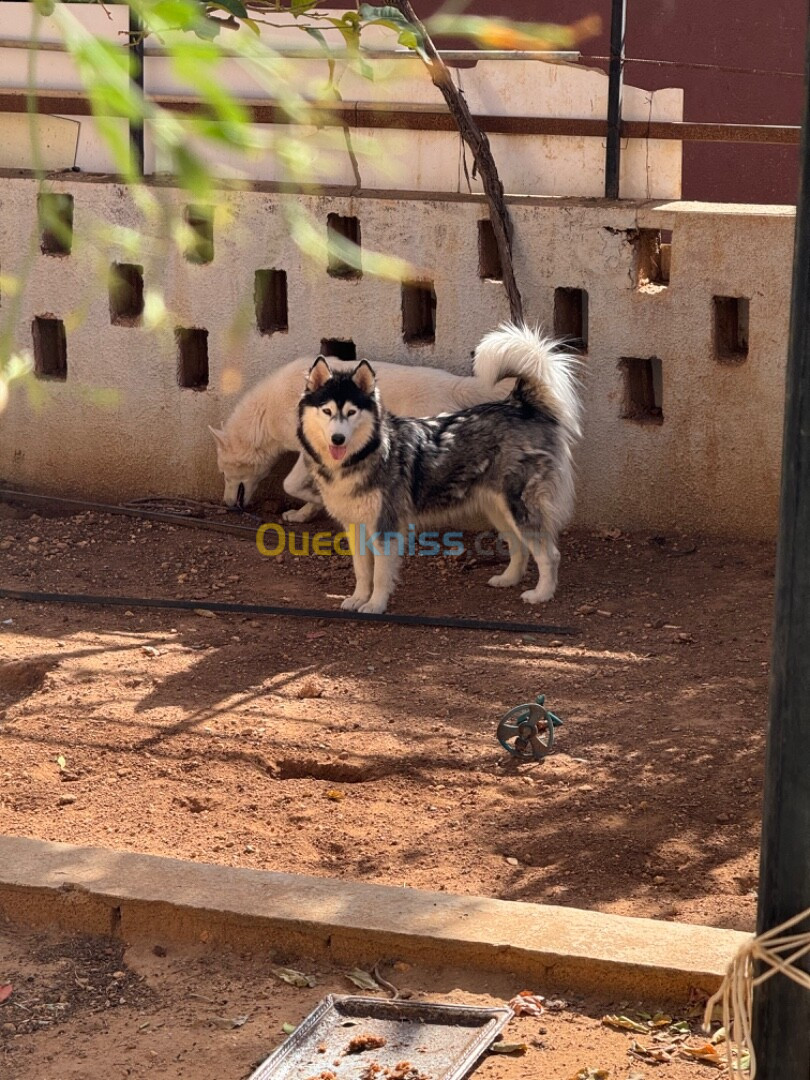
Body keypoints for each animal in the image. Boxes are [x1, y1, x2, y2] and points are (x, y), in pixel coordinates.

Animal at [210, 354, 514, 522]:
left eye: (224, 474)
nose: (226, 504)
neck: (267, 413)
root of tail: (454, 384)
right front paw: (303, 514)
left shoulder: (309, 450)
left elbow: (290, 484)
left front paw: (316, 504)